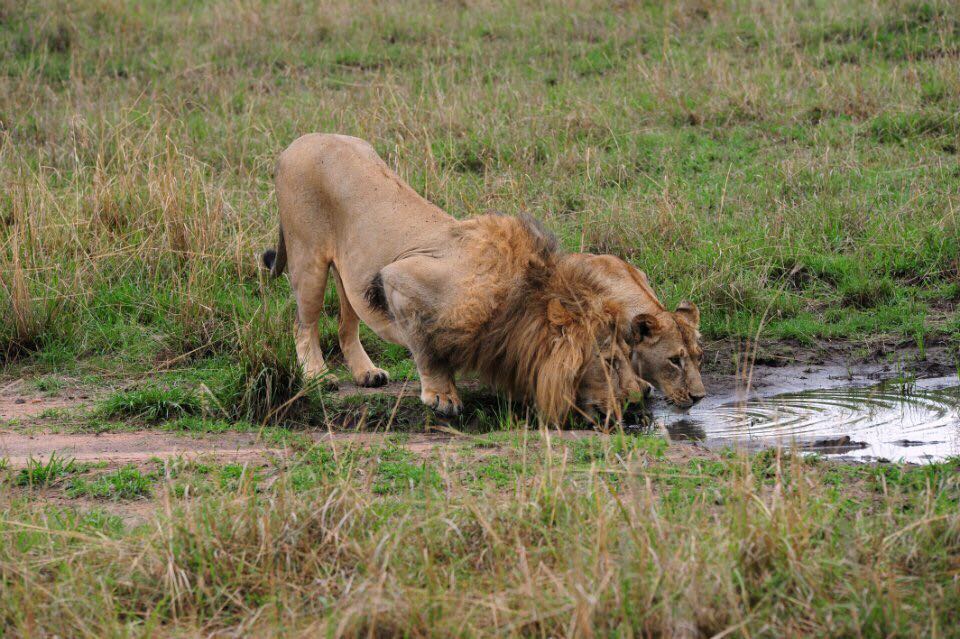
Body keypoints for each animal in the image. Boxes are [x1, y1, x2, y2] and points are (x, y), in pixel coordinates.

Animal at [262, 134, 648, 424]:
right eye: (609, 361)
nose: (639, 399)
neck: (519, 302)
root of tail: (297, 142)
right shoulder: (400, 278)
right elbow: (427, 348)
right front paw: (443, 397)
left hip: (348, 274)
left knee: (346, 324)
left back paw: (366, 373)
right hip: (308, 258)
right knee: (304, 324)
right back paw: (317, 375)